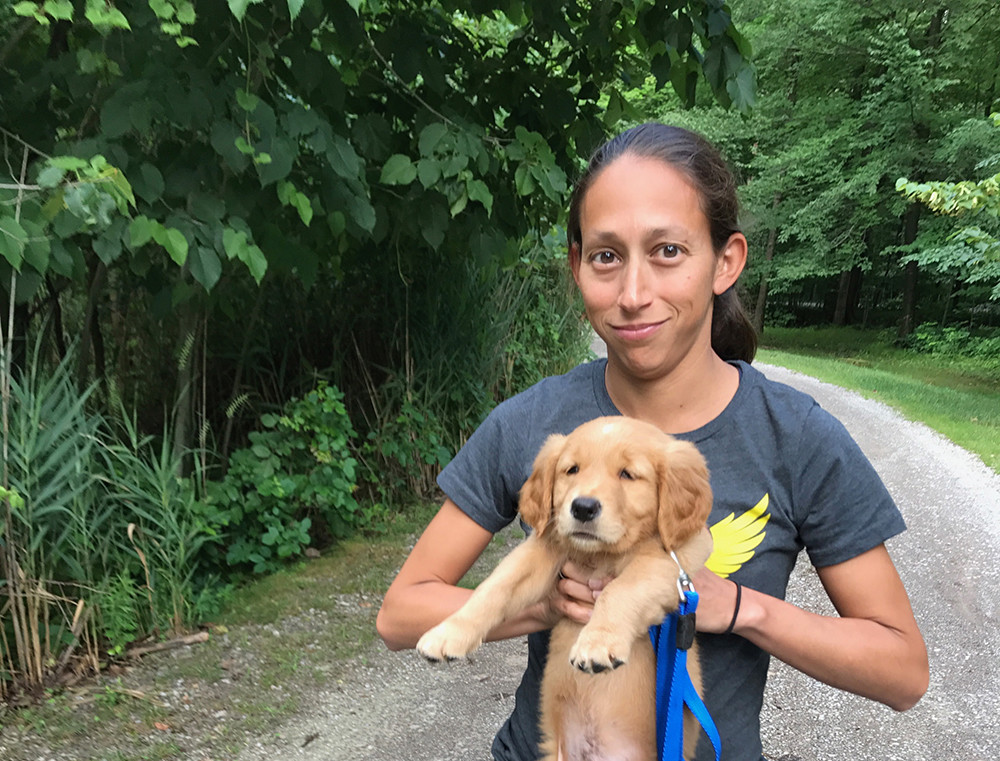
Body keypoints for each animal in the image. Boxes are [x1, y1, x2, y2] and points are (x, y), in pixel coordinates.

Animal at [418, 416, 716, 760]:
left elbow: (620, 590)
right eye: (572, 470)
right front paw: (448, 633)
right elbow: (495, 587)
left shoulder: (674, 561)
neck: (599, 555)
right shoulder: (543, 548)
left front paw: (597, 643)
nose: (583, 508)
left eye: (628, 474)